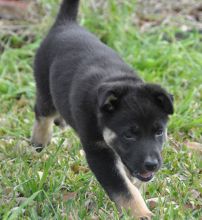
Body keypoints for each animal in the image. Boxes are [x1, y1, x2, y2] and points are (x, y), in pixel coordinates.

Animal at [31, 0, 174, 219]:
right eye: (129, 135)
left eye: (159, 132)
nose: (152, 165)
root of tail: (65, 23)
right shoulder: (98, 151)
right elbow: (124, 189)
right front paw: (141, 213)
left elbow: (131, 180)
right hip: (46, 89)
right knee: (42, 113)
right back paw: (40, 141)